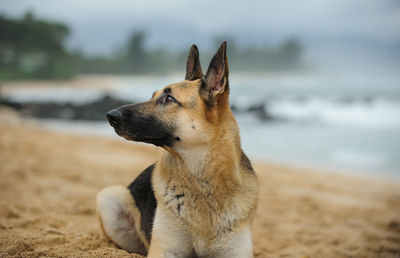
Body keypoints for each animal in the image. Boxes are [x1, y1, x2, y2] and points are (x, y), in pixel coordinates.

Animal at [97, 42, 260, 258]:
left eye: (169, 99)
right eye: (153, 96)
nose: (110, 116)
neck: (202, 182)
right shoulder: (164, 249)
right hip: (110, 196)